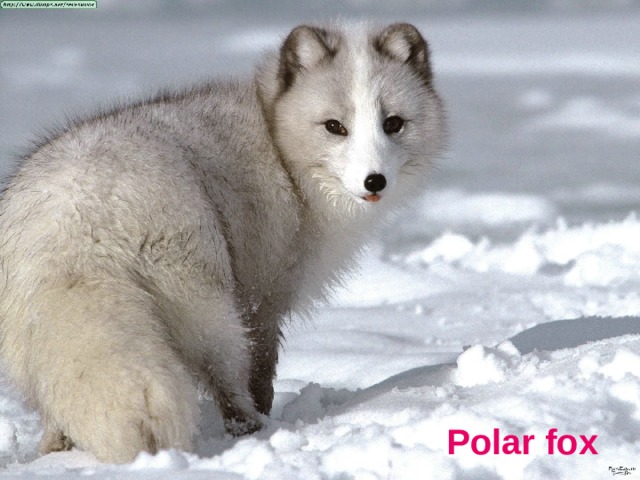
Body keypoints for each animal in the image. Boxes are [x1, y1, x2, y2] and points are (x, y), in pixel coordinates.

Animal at [0, 22, 446, 463]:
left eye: (393, 123)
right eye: (335, 127)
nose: (375, 181)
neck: (278, 143)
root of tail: (77, 221)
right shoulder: (263, 296)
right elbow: (261, 370)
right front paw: (264, 412)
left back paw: (55, 453)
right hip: (208, 309)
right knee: (227, 381)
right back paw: (252, 429)